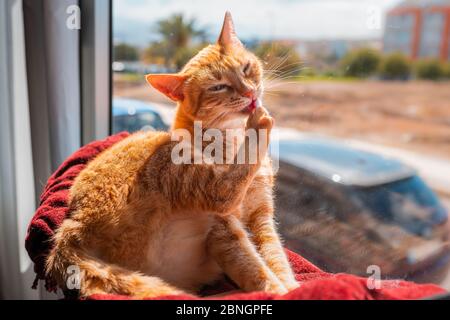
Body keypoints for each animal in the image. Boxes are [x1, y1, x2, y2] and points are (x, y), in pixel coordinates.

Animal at [46, 11, 298, 298]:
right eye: (218, 87)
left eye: (245, 68)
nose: (250, 93)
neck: (231, 137)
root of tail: (71, 227)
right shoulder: (225, 228)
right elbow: (254, 268)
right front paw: (278, 290)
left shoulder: (261, 218)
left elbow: (275, 258)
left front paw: (291, 285)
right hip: (179, 166)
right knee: (225, 189)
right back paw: (259, 122)